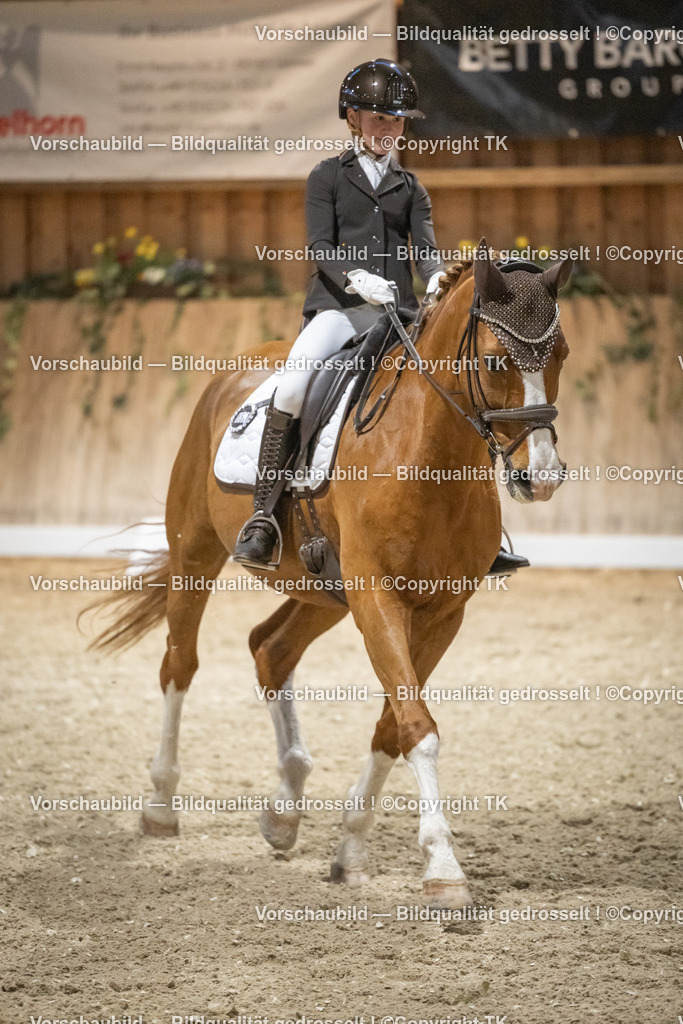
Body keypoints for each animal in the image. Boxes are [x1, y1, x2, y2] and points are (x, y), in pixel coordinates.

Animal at [89, 241, 572, 910]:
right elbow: (417, 726)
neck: (428, 455)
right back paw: (161, 805)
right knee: (179, 665)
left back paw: (284, 812)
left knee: (270, 648)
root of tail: (233, 372)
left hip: (322, 592)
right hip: (196, 555)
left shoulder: (442, 613)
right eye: (497, 358)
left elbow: (393, 726)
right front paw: (444, 870)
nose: (542, 478)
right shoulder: (378, 602)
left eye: (563, 355)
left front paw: (351, 852)